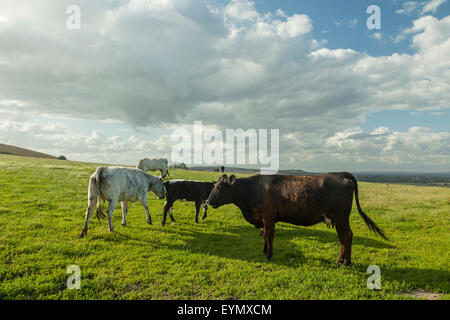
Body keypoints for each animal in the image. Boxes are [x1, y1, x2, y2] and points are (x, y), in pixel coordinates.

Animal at [207, 172, 386, 264]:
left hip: (341, 217)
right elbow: (264, 236)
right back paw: (341, 259)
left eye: (221, 187)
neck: (253, 189)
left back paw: (346, 261)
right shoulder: (264, 219)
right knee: (343, 238)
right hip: (338, 219)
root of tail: (341, 174)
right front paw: (264, 251)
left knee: (347, 236)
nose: (208, 201)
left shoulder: (268, 217)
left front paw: (269, 255)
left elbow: (269, 236)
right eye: (215, 184)